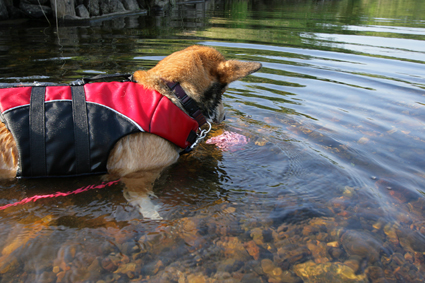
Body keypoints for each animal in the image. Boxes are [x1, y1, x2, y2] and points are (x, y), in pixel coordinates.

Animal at [0, 46, 262, 220]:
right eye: (223, 92)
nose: (225, 118)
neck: (173, 92)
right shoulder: (138, 176)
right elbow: (143, 200)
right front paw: (155, 215)